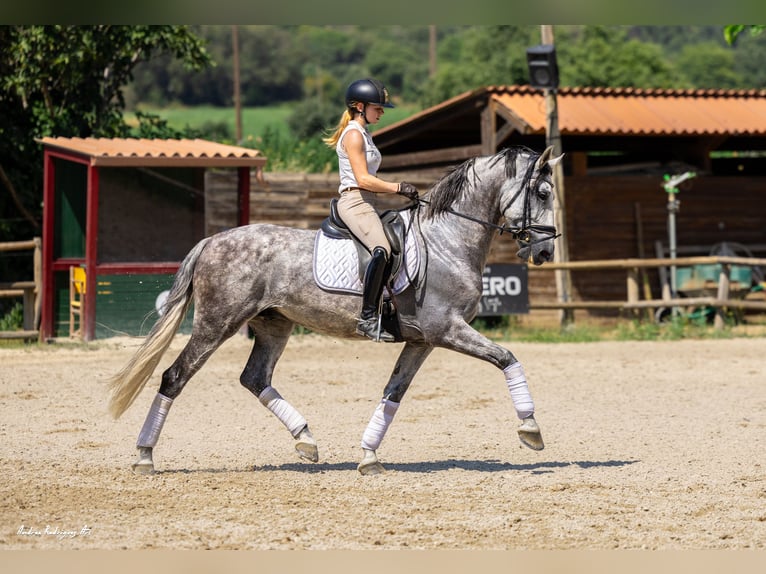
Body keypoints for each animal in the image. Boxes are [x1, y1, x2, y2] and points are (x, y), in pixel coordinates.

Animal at [106, 145, 564, 476]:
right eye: (542, 193)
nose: (544, 252)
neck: (447, 240)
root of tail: (211, 241)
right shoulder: (447, 330)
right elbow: (508, 358)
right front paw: (531, 430)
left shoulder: (423, 341)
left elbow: (393, 394)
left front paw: (368, 456)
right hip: (217, 323)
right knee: (175, 376)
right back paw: (145, 456)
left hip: (274, 325)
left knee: (255, 378)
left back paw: (306, 441)